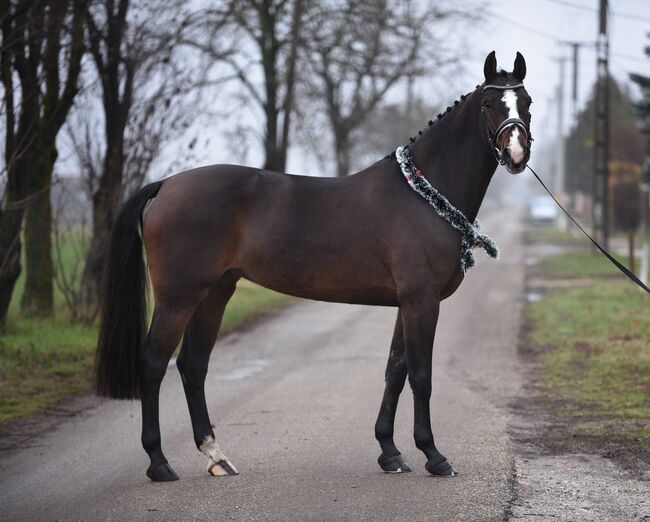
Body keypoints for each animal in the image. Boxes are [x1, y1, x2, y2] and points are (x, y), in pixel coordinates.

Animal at [95, 51, 532, 480]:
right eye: (489, 104)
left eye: (525, 102)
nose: (516, 155)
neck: (423, 194)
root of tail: (167, 185)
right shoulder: (422, 301)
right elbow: (421, 375)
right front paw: (433, 455)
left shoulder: (407, 303)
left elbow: (395, 370)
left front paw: (390, 453)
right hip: (179, 297)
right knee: (154, 362)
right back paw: (159, 462)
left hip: (215, 292)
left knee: (192, 365)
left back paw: (216, 456)